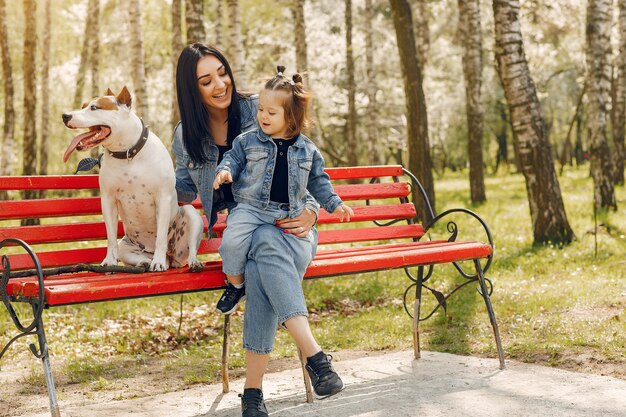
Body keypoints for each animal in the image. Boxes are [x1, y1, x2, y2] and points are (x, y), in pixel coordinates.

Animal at [61, 86, 202, 272]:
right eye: (83, 105)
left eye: (94, 107)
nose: (65, 116)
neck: (128, 153)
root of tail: (170, 259)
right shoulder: (108, 200)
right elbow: (111, 237)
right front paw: (109, 262)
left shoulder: (163, 198)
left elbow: (161, 238)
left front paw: (158, 262)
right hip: (126, 246)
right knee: (133, 254)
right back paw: (144, 263)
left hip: (191, 216)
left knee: (190, 247)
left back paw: (186, 262)